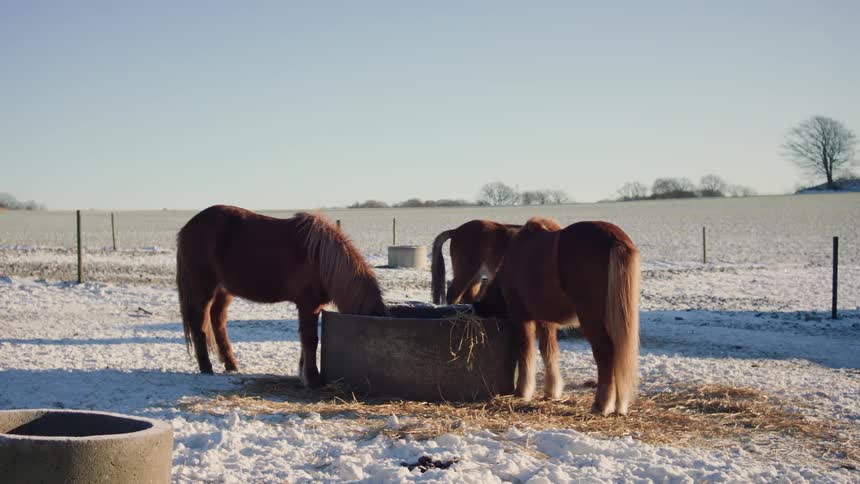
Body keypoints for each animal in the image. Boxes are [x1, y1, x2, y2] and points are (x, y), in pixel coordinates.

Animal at [176, 205, 387, 387]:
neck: (319, 258)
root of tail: (187, 228)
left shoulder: (313, 306)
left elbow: (305, 340)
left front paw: (304, 374)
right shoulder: (308, 304)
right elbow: (310, 340)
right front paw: (313, 379)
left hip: (224, 291)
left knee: (218, 321)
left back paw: (231, 365)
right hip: (203, 288)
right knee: (199, 324)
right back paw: (206, 367)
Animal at [474, 217, 640, 415]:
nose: (477, 308)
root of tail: (614, 237)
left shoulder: (522, 317)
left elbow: (525, 350)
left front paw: (522, 391)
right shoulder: (547, 320)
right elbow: (549, 350)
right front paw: (552, 391)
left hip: (591, 318)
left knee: (605, 353)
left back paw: (602, 405)